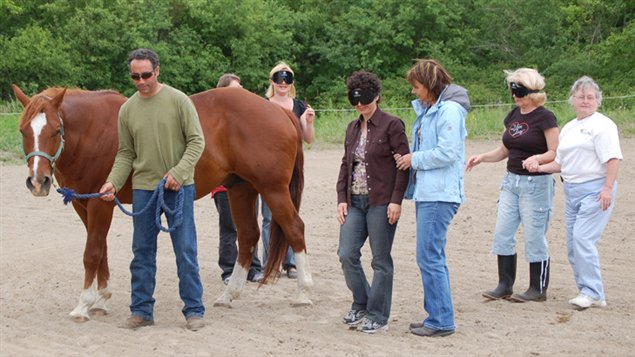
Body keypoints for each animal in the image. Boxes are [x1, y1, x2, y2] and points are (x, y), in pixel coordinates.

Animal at [11, 85, 314, 322]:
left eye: (55, 130)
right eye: (24, 130)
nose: (38, 181)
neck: (94, 130)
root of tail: (279, 111)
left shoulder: (101, 204)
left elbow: (92, 252)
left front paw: (83, 305)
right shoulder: (84, 205)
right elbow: (102, 250)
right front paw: (102, 298)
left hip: (272, 190)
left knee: (295, 228)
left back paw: (304, 293)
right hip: (241, 189)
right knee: (249, 236)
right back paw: (228, 295)